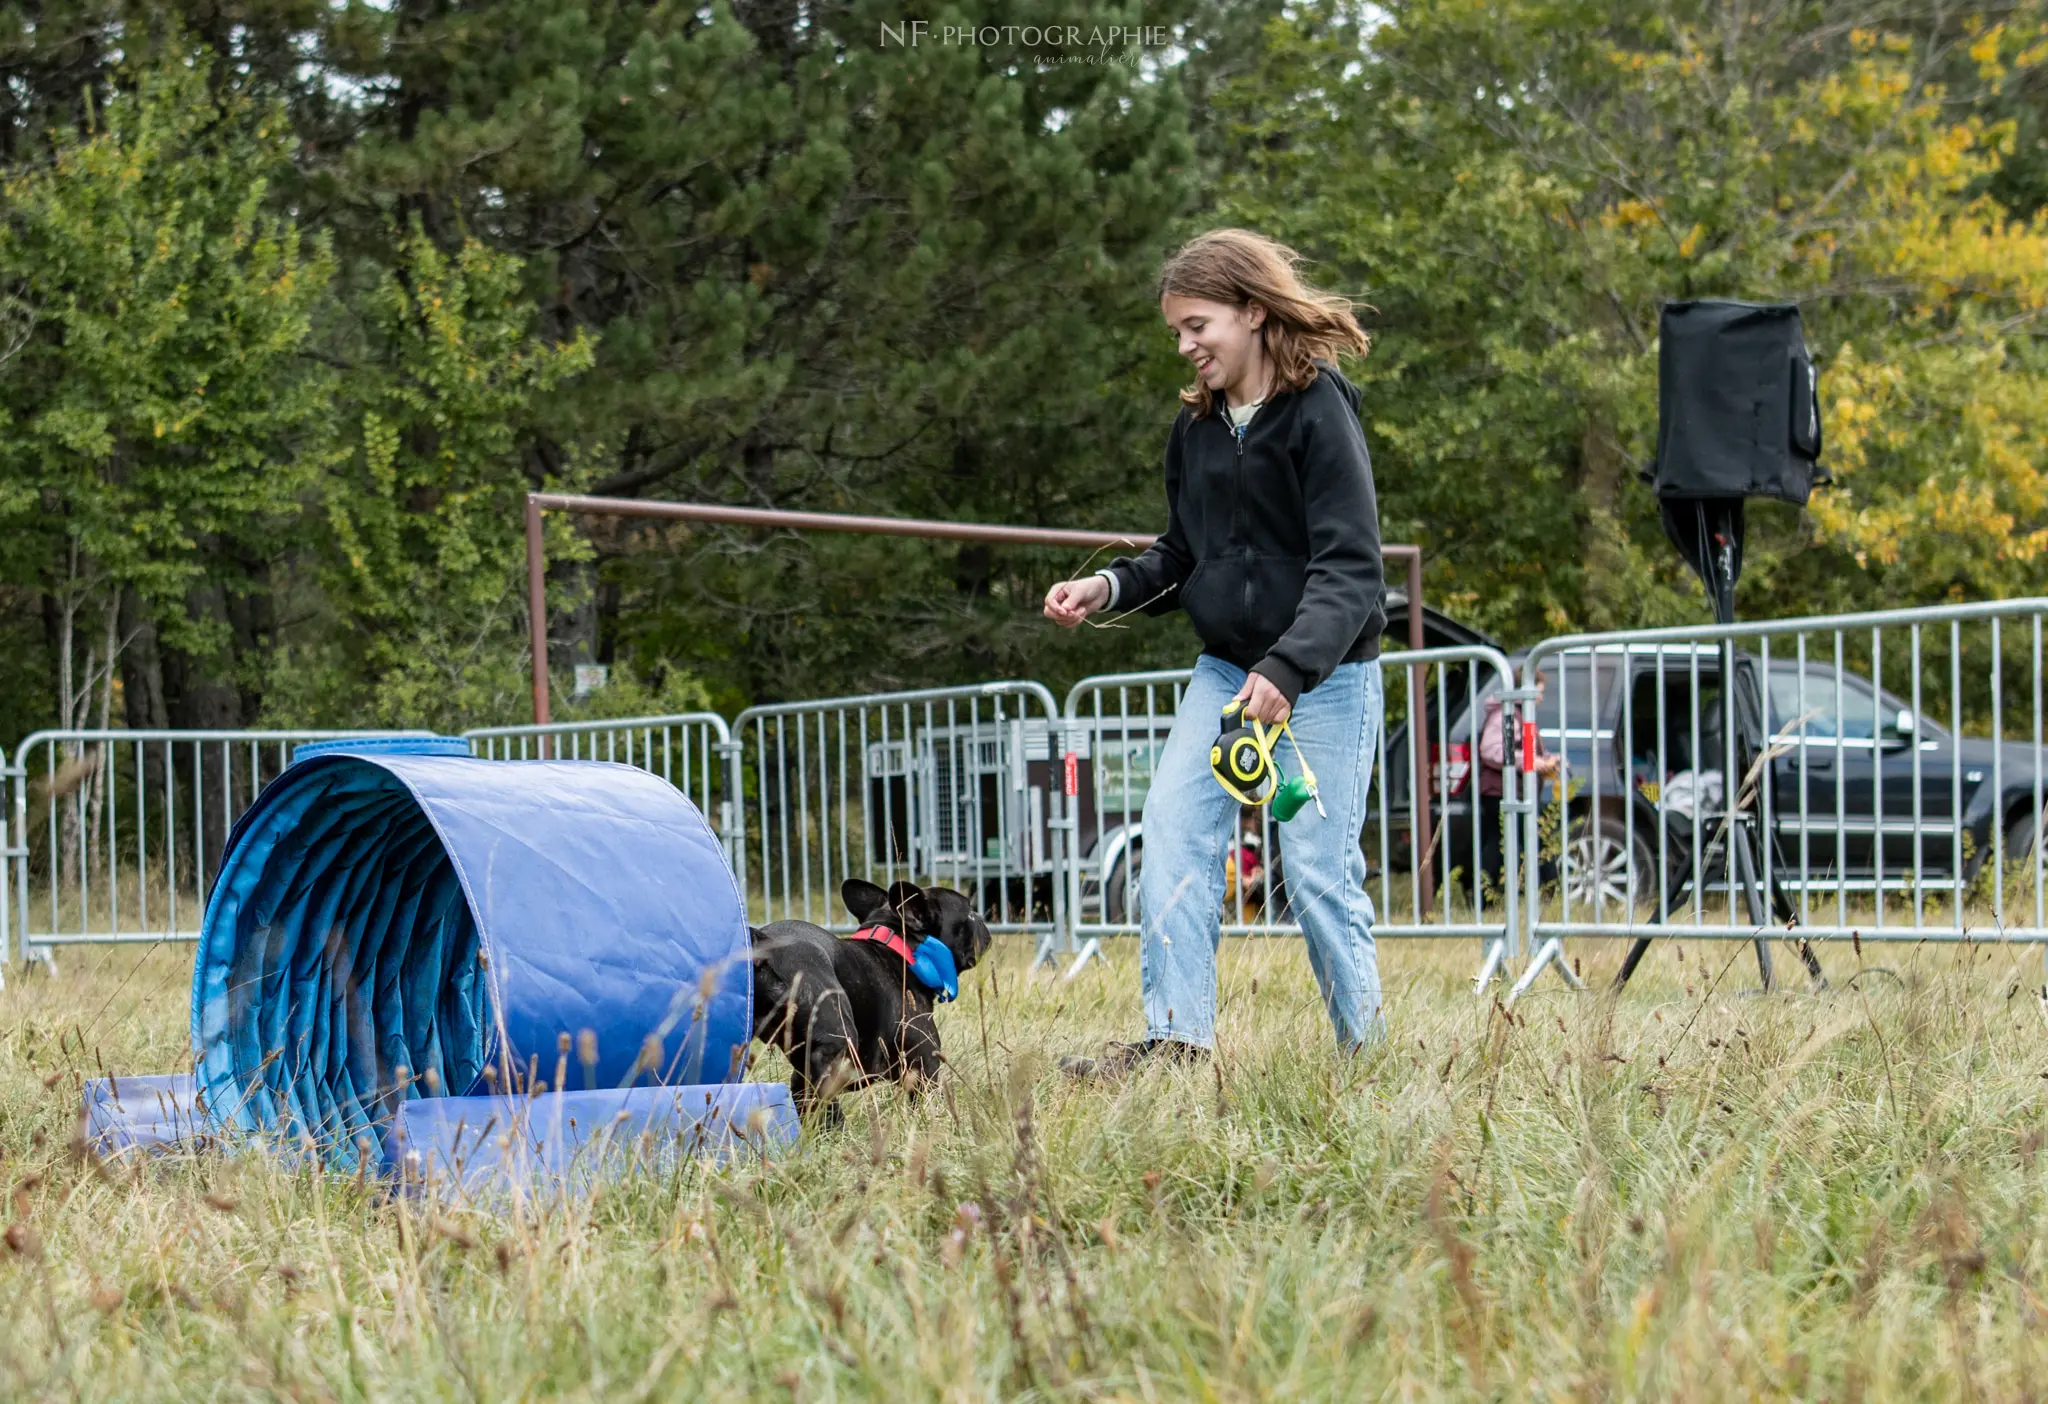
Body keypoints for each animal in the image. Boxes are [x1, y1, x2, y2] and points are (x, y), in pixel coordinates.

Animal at [753, 880, 991, 1121]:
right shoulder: (925, 1066)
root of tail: (763, 942)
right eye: (970, 914)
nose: (981, 917)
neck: (904, 950)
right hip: (836, 1035)